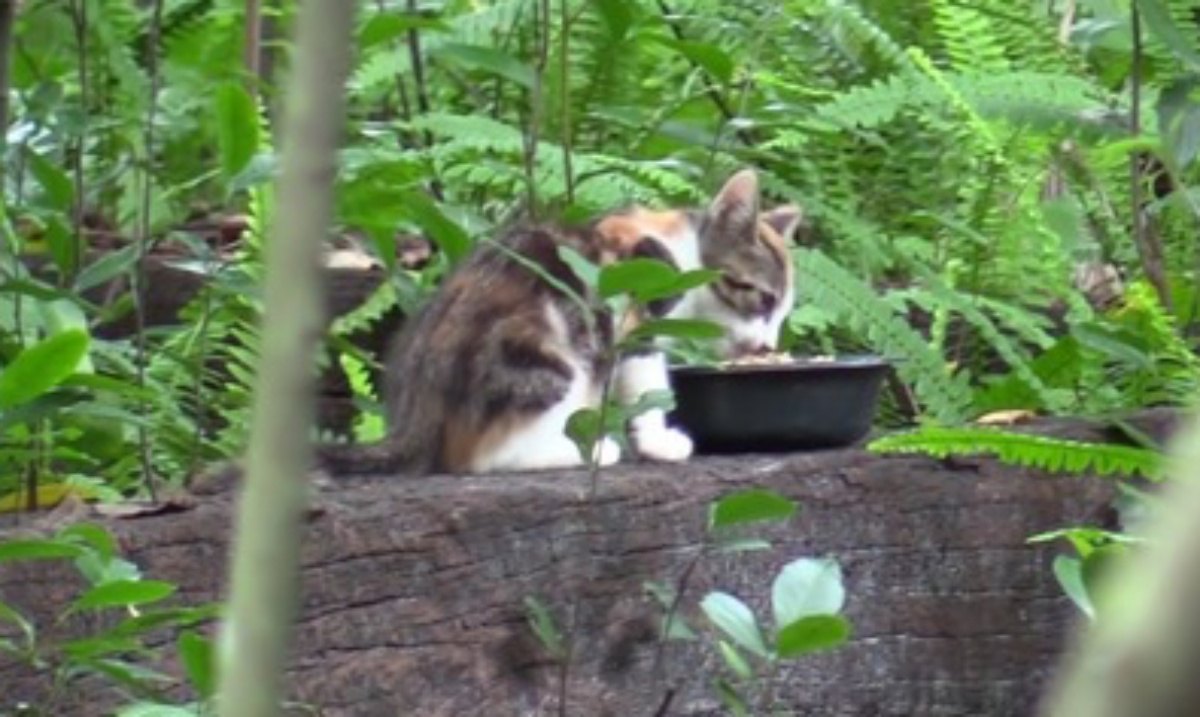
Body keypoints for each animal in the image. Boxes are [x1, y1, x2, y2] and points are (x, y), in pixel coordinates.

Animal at [324, 170, 801, 477]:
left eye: (781, 314)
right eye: (763, 298)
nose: (764, 346)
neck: (681, 250)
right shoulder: (637, 315)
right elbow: (647, 381)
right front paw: (659, 441)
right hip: (545, 356)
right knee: (482, 459)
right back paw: (587, 452)